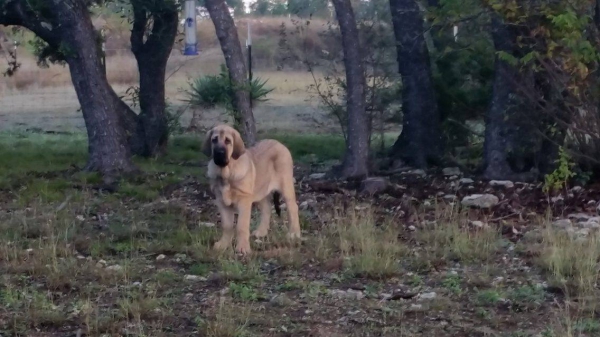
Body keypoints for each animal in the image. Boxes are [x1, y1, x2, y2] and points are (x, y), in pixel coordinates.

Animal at [204, 124, 302, 253]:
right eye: (214, 140)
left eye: (228, 141)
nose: (219, 153)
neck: (226, 173)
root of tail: (279, 144)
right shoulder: (222, 203)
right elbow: (227, 226)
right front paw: (223, 244)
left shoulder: (244, 201)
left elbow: (241, 226)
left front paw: (242, 248)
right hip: (261, 190)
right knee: (267, 209)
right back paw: (261, 232)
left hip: (286, 185)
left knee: (293, 208)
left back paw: (294, 234)